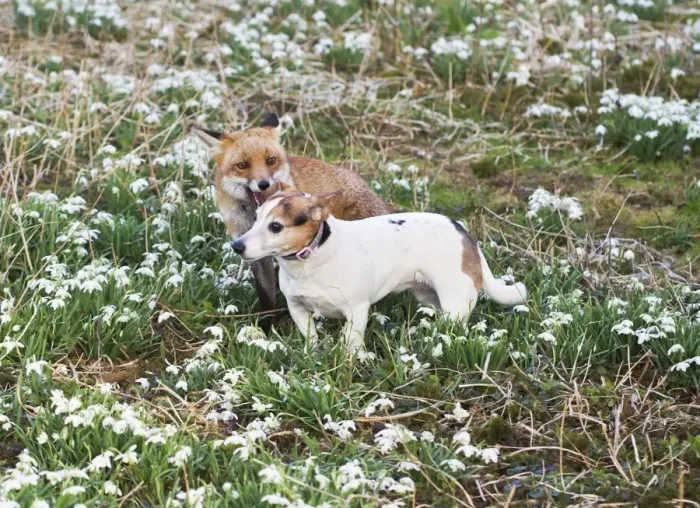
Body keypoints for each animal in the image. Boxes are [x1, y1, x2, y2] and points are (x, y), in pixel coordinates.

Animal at [191, 113, 390, 319]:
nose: (264, 184)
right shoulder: (253, 252)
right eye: (242, 165)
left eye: (271, 160)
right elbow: (266, 295)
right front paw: (268, 323)